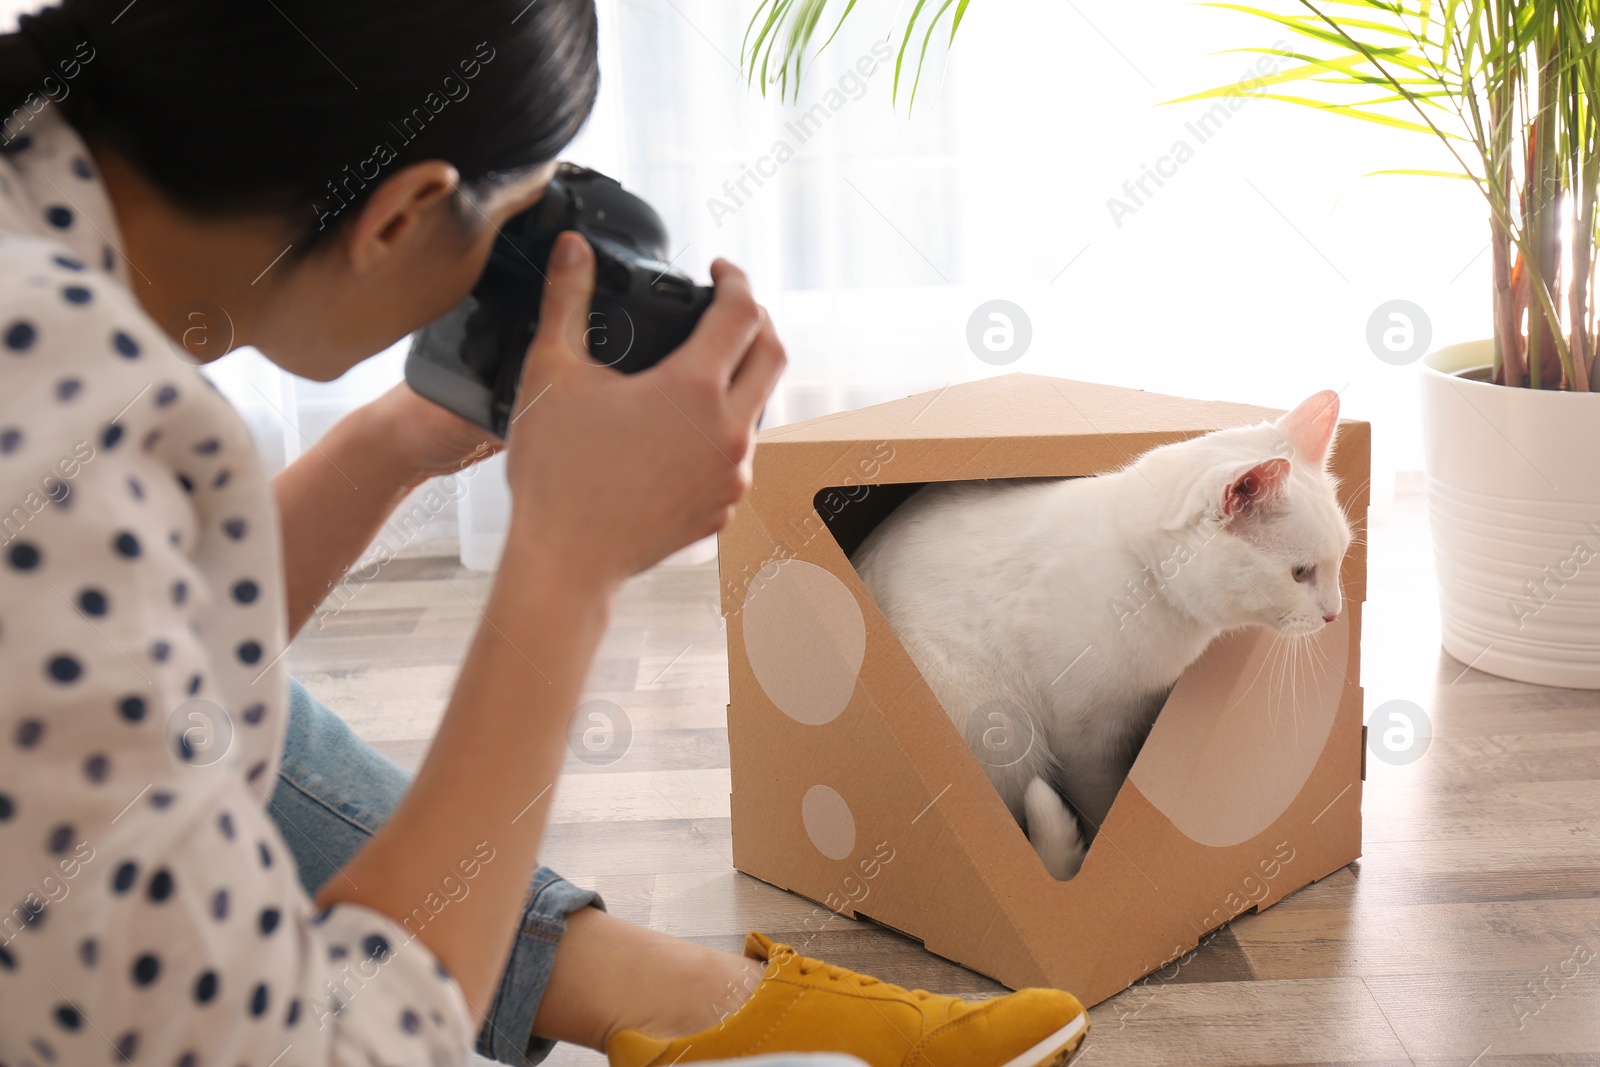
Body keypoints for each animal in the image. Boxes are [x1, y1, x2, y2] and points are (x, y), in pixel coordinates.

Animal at [851, 391, 1350, 876]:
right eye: (1300, 573)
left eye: (1341, 556)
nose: (1335, 614)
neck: (1142, 577)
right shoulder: (1085, 739)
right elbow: (1103, 804)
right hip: (1002, 729)